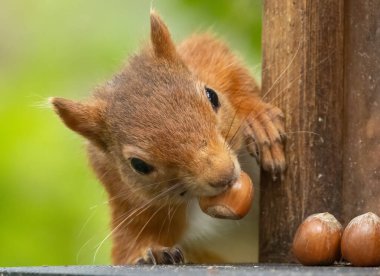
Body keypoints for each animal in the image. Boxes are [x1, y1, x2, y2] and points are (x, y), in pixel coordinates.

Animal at [50, 11, 284, 264]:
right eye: (139, 165)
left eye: (211, 96)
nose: (223, 174)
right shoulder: (129, 203)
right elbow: (127, 248)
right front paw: (151, 252)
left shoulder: (208, 57)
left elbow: (234, 72)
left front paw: (257, 119)